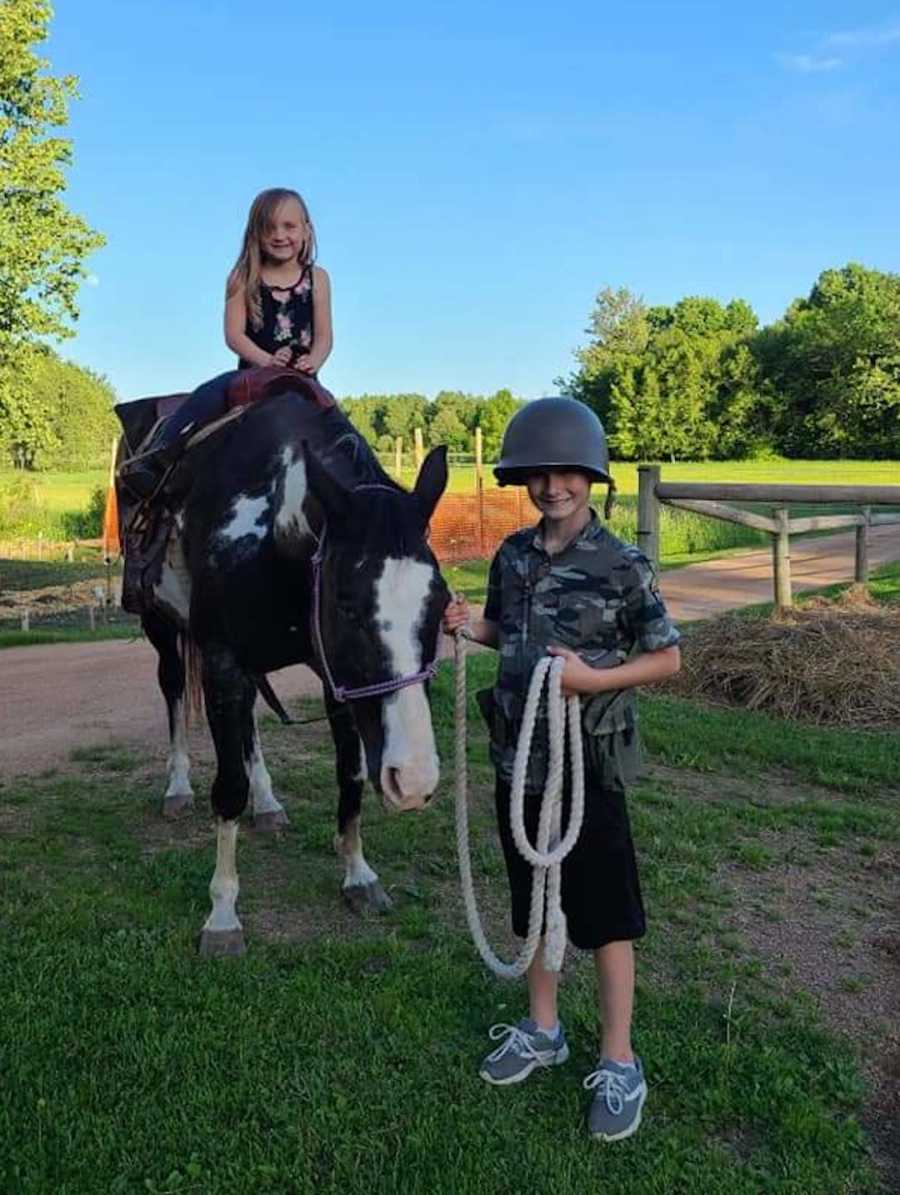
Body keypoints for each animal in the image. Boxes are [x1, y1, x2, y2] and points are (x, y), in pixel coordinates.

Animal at [116, 382, 451, 951]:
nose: (413, 781)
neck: (274, 530)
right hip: (162, 629)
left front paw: (359, 876)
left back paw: (268, 801)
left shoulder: (335, 680)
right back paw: (177, 787)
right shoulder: (222, 658)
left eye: (441, 602)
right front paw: (222, 915)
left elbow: (349, 774)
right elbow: (227, 788)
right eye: (345, 602)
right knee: (174, 690)